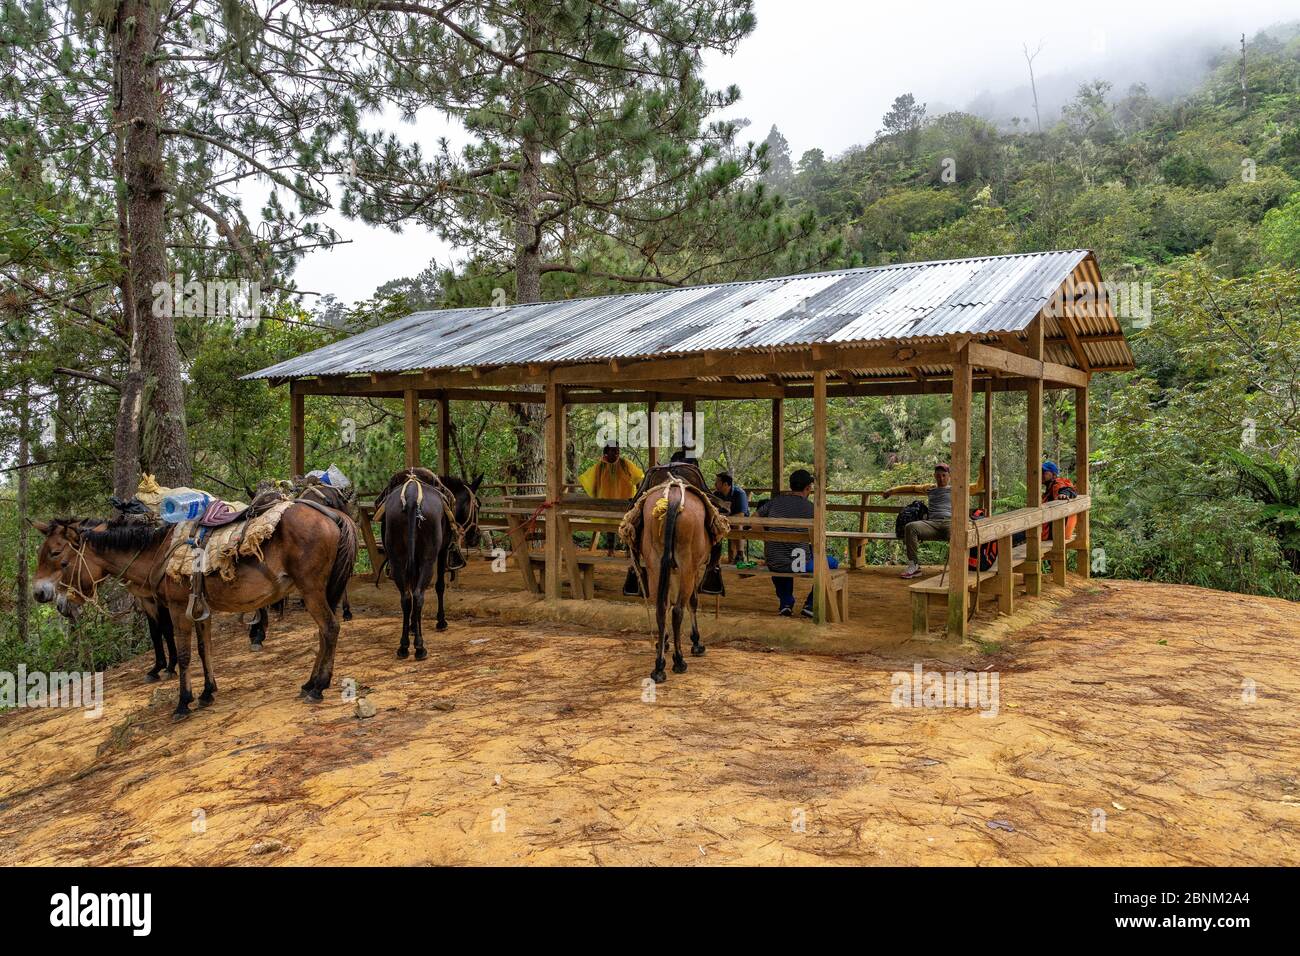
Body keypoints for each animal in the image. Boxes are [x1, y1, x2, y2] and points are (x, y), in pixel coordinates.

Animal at [34, 502, 356, 717]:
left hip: (311, 589)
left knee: (330, 628)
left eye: (56, 554)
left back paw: (318, 687)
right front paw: (207, 693)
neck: (160, 551)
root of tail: (333, 514)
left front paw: (182, 702)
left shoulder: (178, 609)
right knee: (322, 633)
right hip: (320, 591)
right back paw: (309, 683)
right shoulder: (201, 609)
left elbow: (185, 655)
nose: (42, 594)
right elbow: (204, 649)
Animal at [639, 481, 712, 686]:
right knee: (678, 609)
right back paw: (679, 661)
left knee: (661, 608)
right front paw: (696, 642)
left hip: (655, 564)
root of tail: (671, 499)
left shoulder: (670, 570)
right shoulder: (694, 569)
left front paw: (663, 641)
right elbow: (692, 602)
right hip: (687, 564)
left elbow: (666, 602)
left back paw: (659, 666)